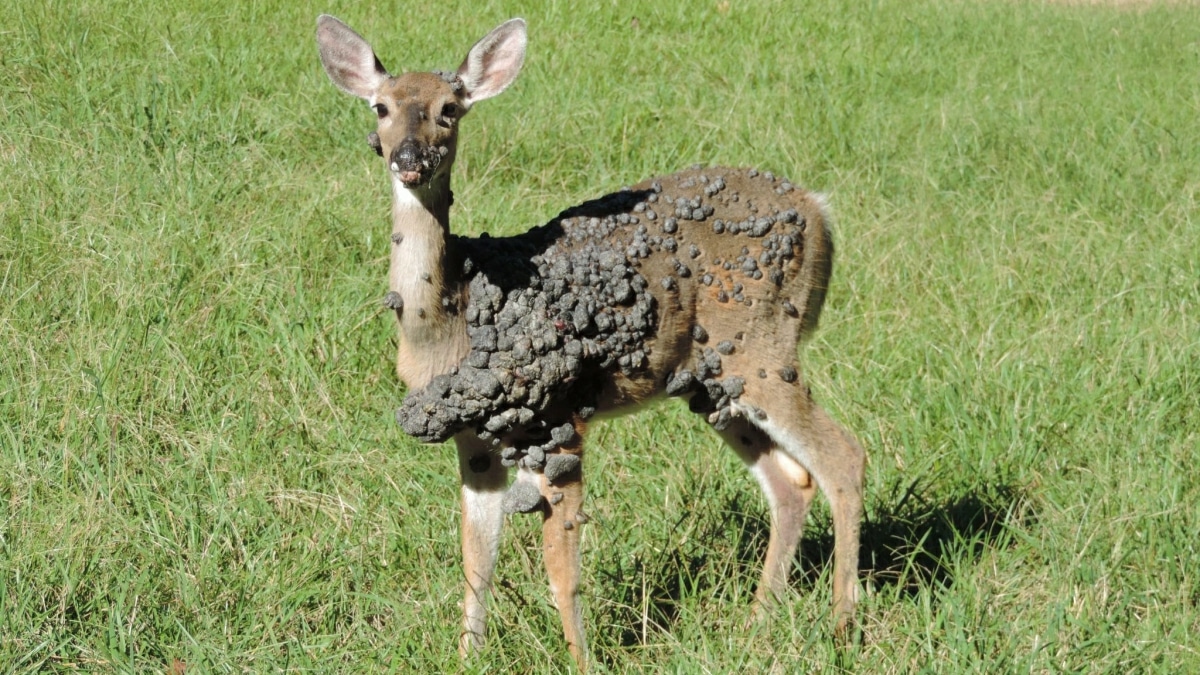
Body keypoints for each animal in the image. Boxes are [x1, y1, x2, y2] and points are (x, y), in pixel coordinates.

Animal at [316, 14, 866, 670]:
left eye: (450, 108)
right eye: (381, 106)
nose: (408, 158)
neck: (450, 322)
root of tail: (821, 212)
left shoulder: (560, 420)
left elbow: (561, 569)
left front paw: (582, 660)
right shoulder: (474, 439)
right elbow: (477, 557)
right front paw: (467, 656)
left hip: (762, 347)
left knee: (844, 456)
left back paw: (841, 628)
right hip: (710, 381)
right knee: (792, 481)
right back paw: (757, 625)